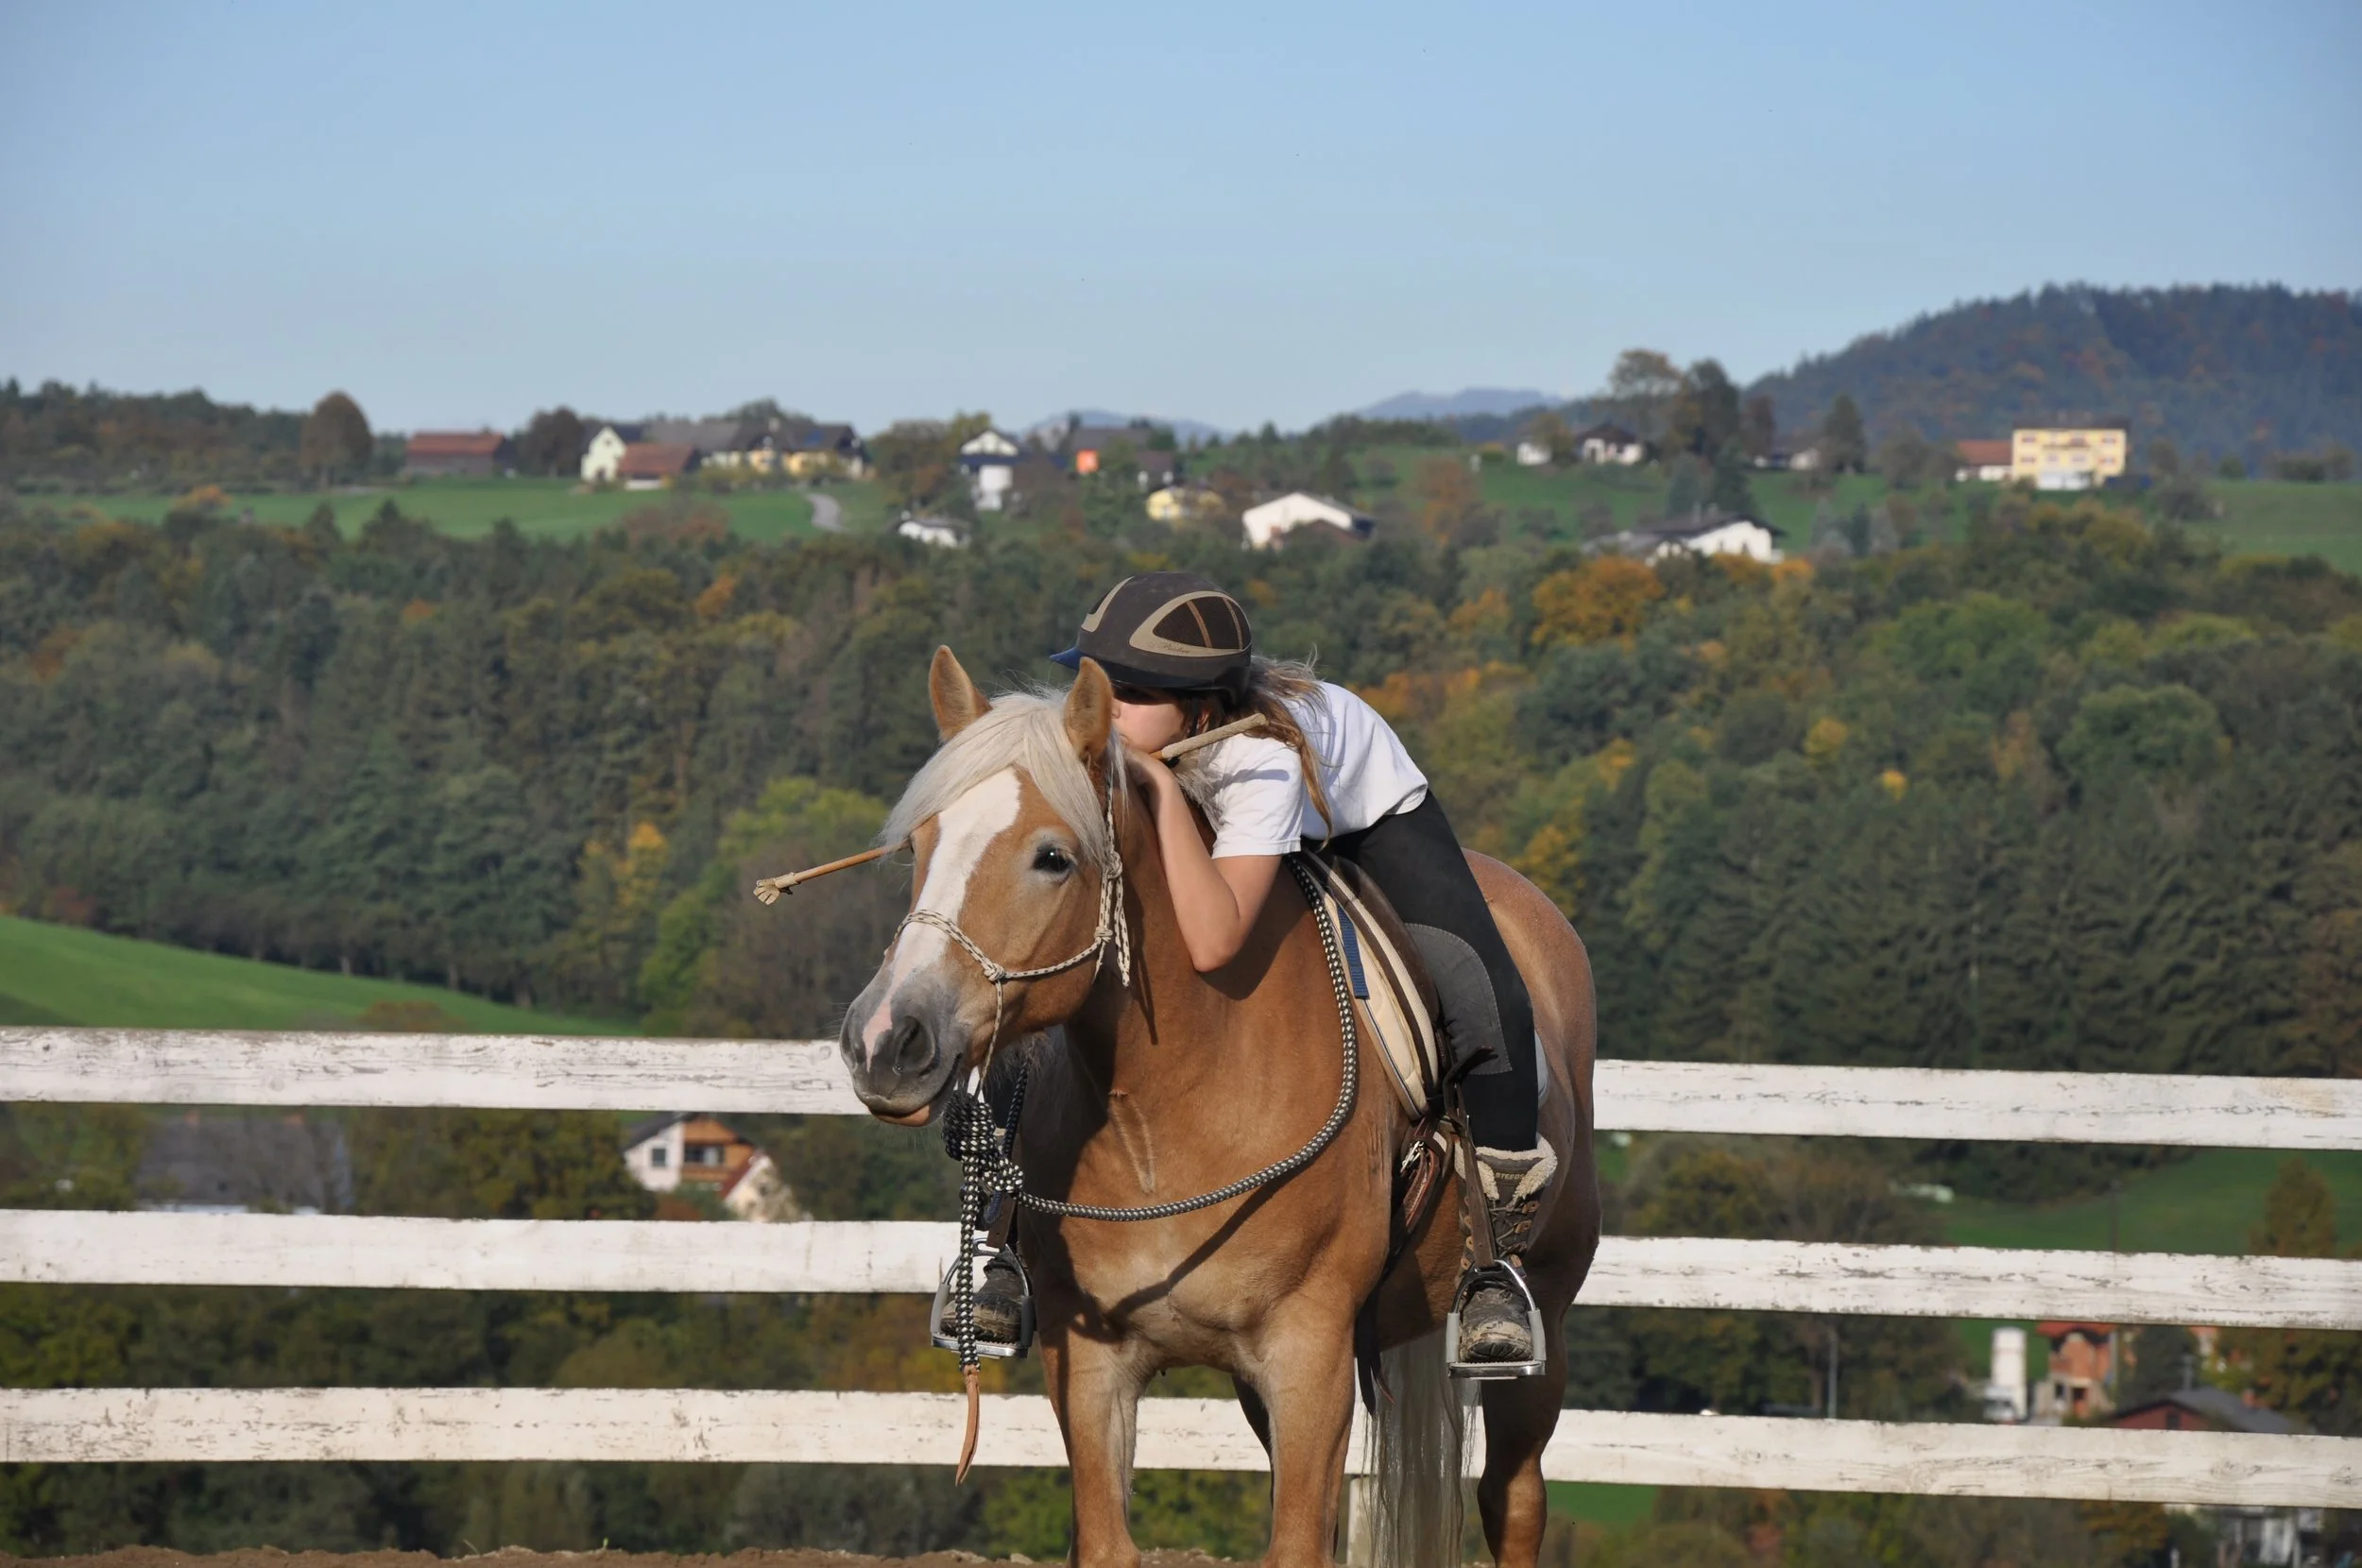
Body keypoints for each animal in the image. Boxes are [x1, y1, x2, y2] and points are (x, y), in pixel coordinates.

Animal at [837, 647, 1599, 1568]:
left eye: (1053, 857)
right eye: (922, 843)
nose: (885, 1041)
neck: (1168, 1105)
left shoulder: (1309, 1359)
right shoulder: (1091, 1365)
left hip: (1542, 1324)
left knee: (1513, 1499)